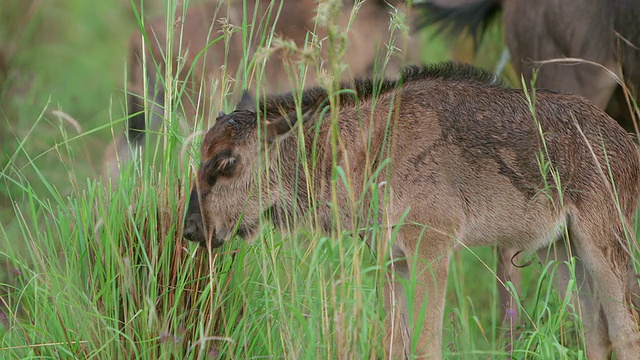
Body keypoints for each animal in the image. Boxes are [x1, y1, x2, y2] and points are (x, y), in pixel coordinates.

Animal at [181, 63, 640, 358]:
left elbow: (425, 345)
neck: (365, 150)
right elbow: (392, 343)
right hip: (560, 253)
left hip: (603, 246)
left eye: (225, 162)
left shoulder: (432, 252)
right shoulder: (392, 260)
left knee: (625, 330)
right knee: (596, 334)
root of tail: (627, 141)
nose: (191, 230)